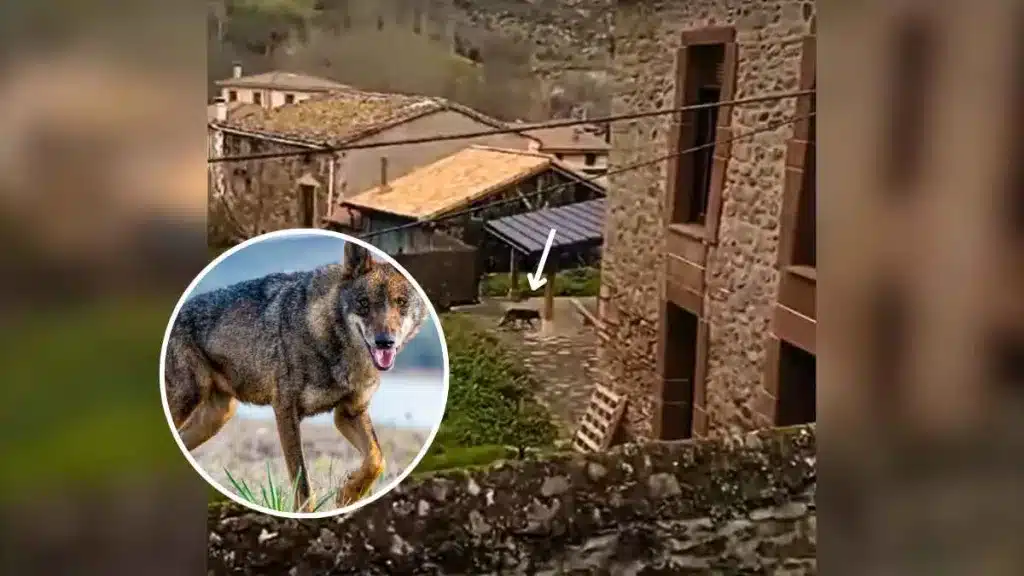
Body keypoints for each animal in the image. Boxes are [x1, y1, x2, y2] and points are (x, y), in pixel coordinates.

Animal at [163, 239, 428, 508]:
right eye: (364, 303)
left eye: (401, 303)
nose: (385, 342)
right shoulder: (286, 410)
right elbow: (303, 487)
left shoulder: (349, 412)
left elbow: (376, 458)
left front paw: (348, 493)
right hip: (187, 401)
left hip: (217, 416)